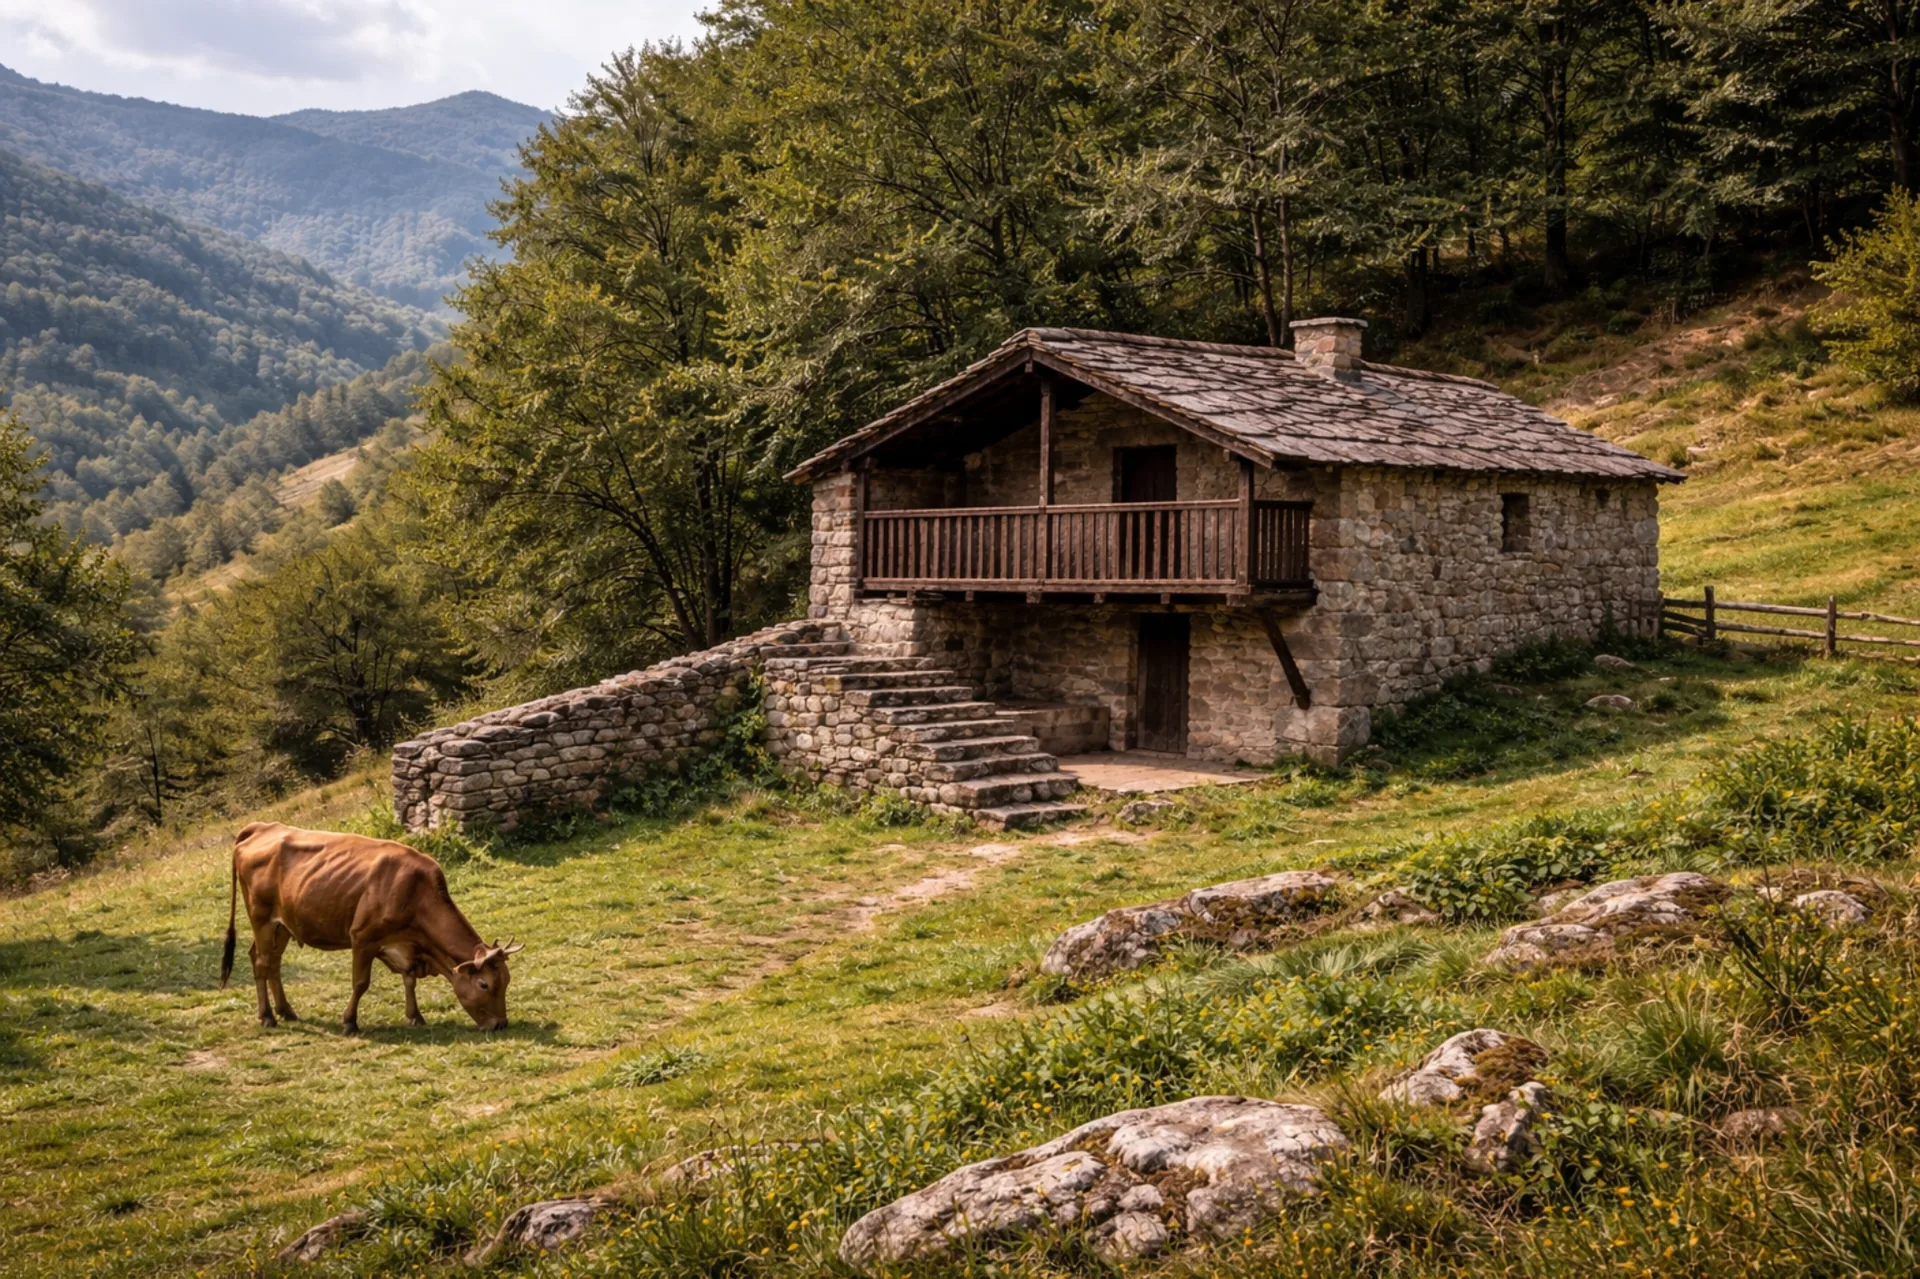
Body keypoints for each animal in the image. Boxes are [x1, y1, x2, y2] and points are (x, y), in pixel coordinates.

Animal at [221, 822, 522, 1033]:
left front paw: (415, 1016)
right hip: (261, 919)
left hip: (283, 925)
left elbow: (409, 980)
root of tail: (263, 826)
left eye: (506, 980)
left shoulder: (407, 946)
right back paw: (268, 1017)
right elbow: (360, 983)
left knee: (272, 962)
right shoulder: (363, 939)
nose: (500, 1024)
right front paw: (349, 1022)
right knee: (262, 963)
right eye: (484, 984)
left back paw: (286, 1011)